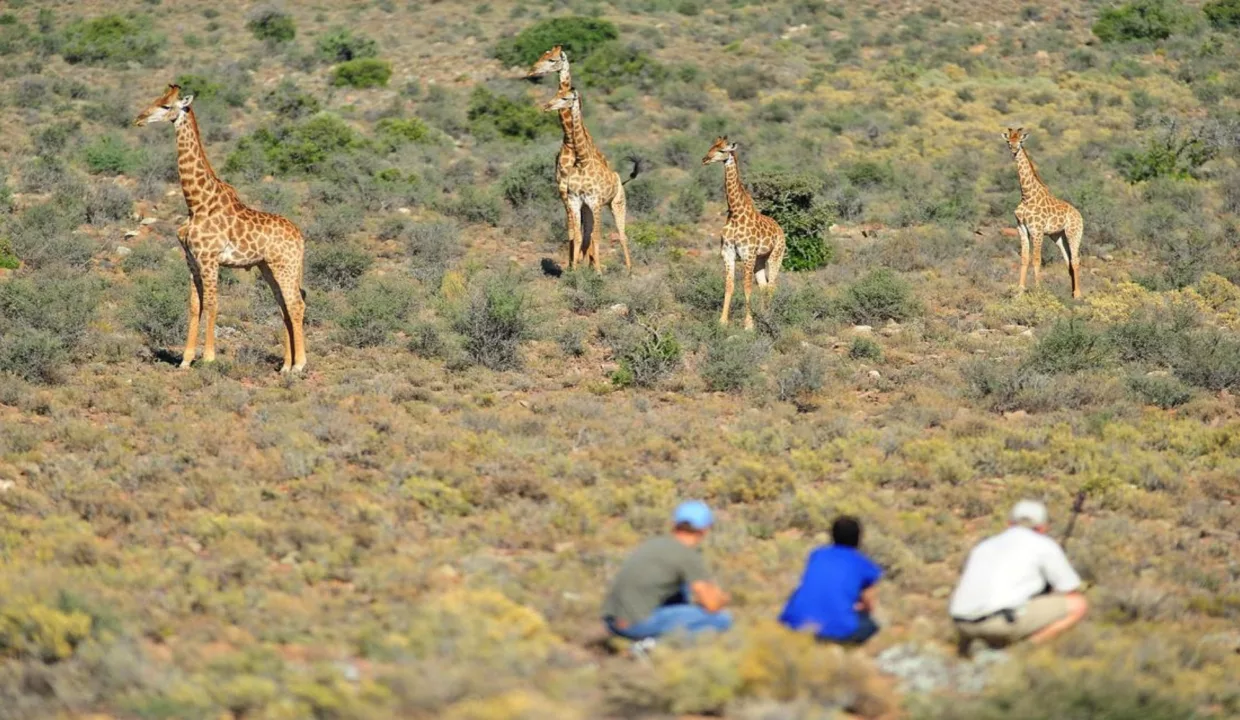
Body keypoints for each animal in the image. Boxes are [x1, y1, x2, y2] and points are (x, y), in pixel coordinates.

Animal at [132, 84, 307, 374]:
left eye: (167, 106)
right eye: (156, 99)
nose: (139, 118)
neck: (196, 203)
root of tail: (301, 238)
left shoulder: (210, 259)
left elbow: (213, 304)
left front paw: (209, 358)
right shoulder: (192, 261)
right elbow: (195, 306)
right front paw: (186, 360)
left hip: (286, 266)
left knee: (296, 304)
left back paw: (299, 366)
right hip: (268, 267)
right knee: (283, 306)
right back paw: (285, 366)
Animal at [543, 83, 639, 272]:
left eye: (565, 98)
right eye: (557, 93)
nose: (547, 106)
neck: (582, 161)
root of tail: (619, 179)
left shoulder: (595, 202)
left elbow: (597, 236)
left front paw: (599, 272)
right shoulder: (575, 201)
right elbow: (578, 235)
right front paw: (574, 271)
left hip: (617, 203)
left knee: (622, 234)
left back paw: (629, 270)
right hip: (587, 208)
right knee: (587, 234)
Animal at [704, 136, 788, 329]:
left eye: (722, 150)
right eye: (711, 147)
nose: (704, 159)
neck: (735, 213)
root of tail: (780, 229)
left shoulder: (747, 254)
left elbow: (747, 287)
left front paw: (748, 325)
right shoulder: (728, 253)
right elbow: (729, 285)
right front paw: (722, 321)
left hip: (776, 255)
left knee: (772, 285)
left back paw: (768, 317)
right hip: (760, 259)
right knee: (764, 286)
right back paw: (764, 314)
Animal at [1006, 127, 1086, 298]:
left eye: (1020, 141)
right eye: (1009, 141)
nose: (1014, 151)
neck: (1026, 196)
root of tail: (1079, 215)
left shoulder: (1037, 230)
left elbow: (1036, 259)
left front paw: (1038, 290)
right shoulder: (1021, 228)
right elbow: (1024, 258)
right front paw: (1020, 290)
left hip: (1074, 232)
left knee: (1075, 259)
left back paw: (1077, 294)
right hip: (1058, 236)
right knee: (1068, 260)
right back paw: (1071, 292)